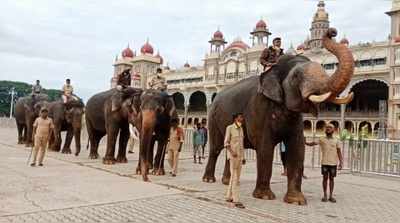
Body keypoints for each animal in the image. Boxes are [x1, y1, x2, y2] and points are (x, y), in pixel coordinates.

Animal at [202, 28, 354, 206]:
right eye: (297, 76)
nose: (332, 31)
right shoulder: (259, 108)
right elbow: (265, 148)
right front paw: (264, 197)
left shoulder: (295, 118)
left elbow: (297, 149)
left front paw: (296, 201)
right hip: (213, 118)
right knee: (216, 148)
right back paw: (209, 180)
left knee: (230, 150)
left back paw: (226, 182)